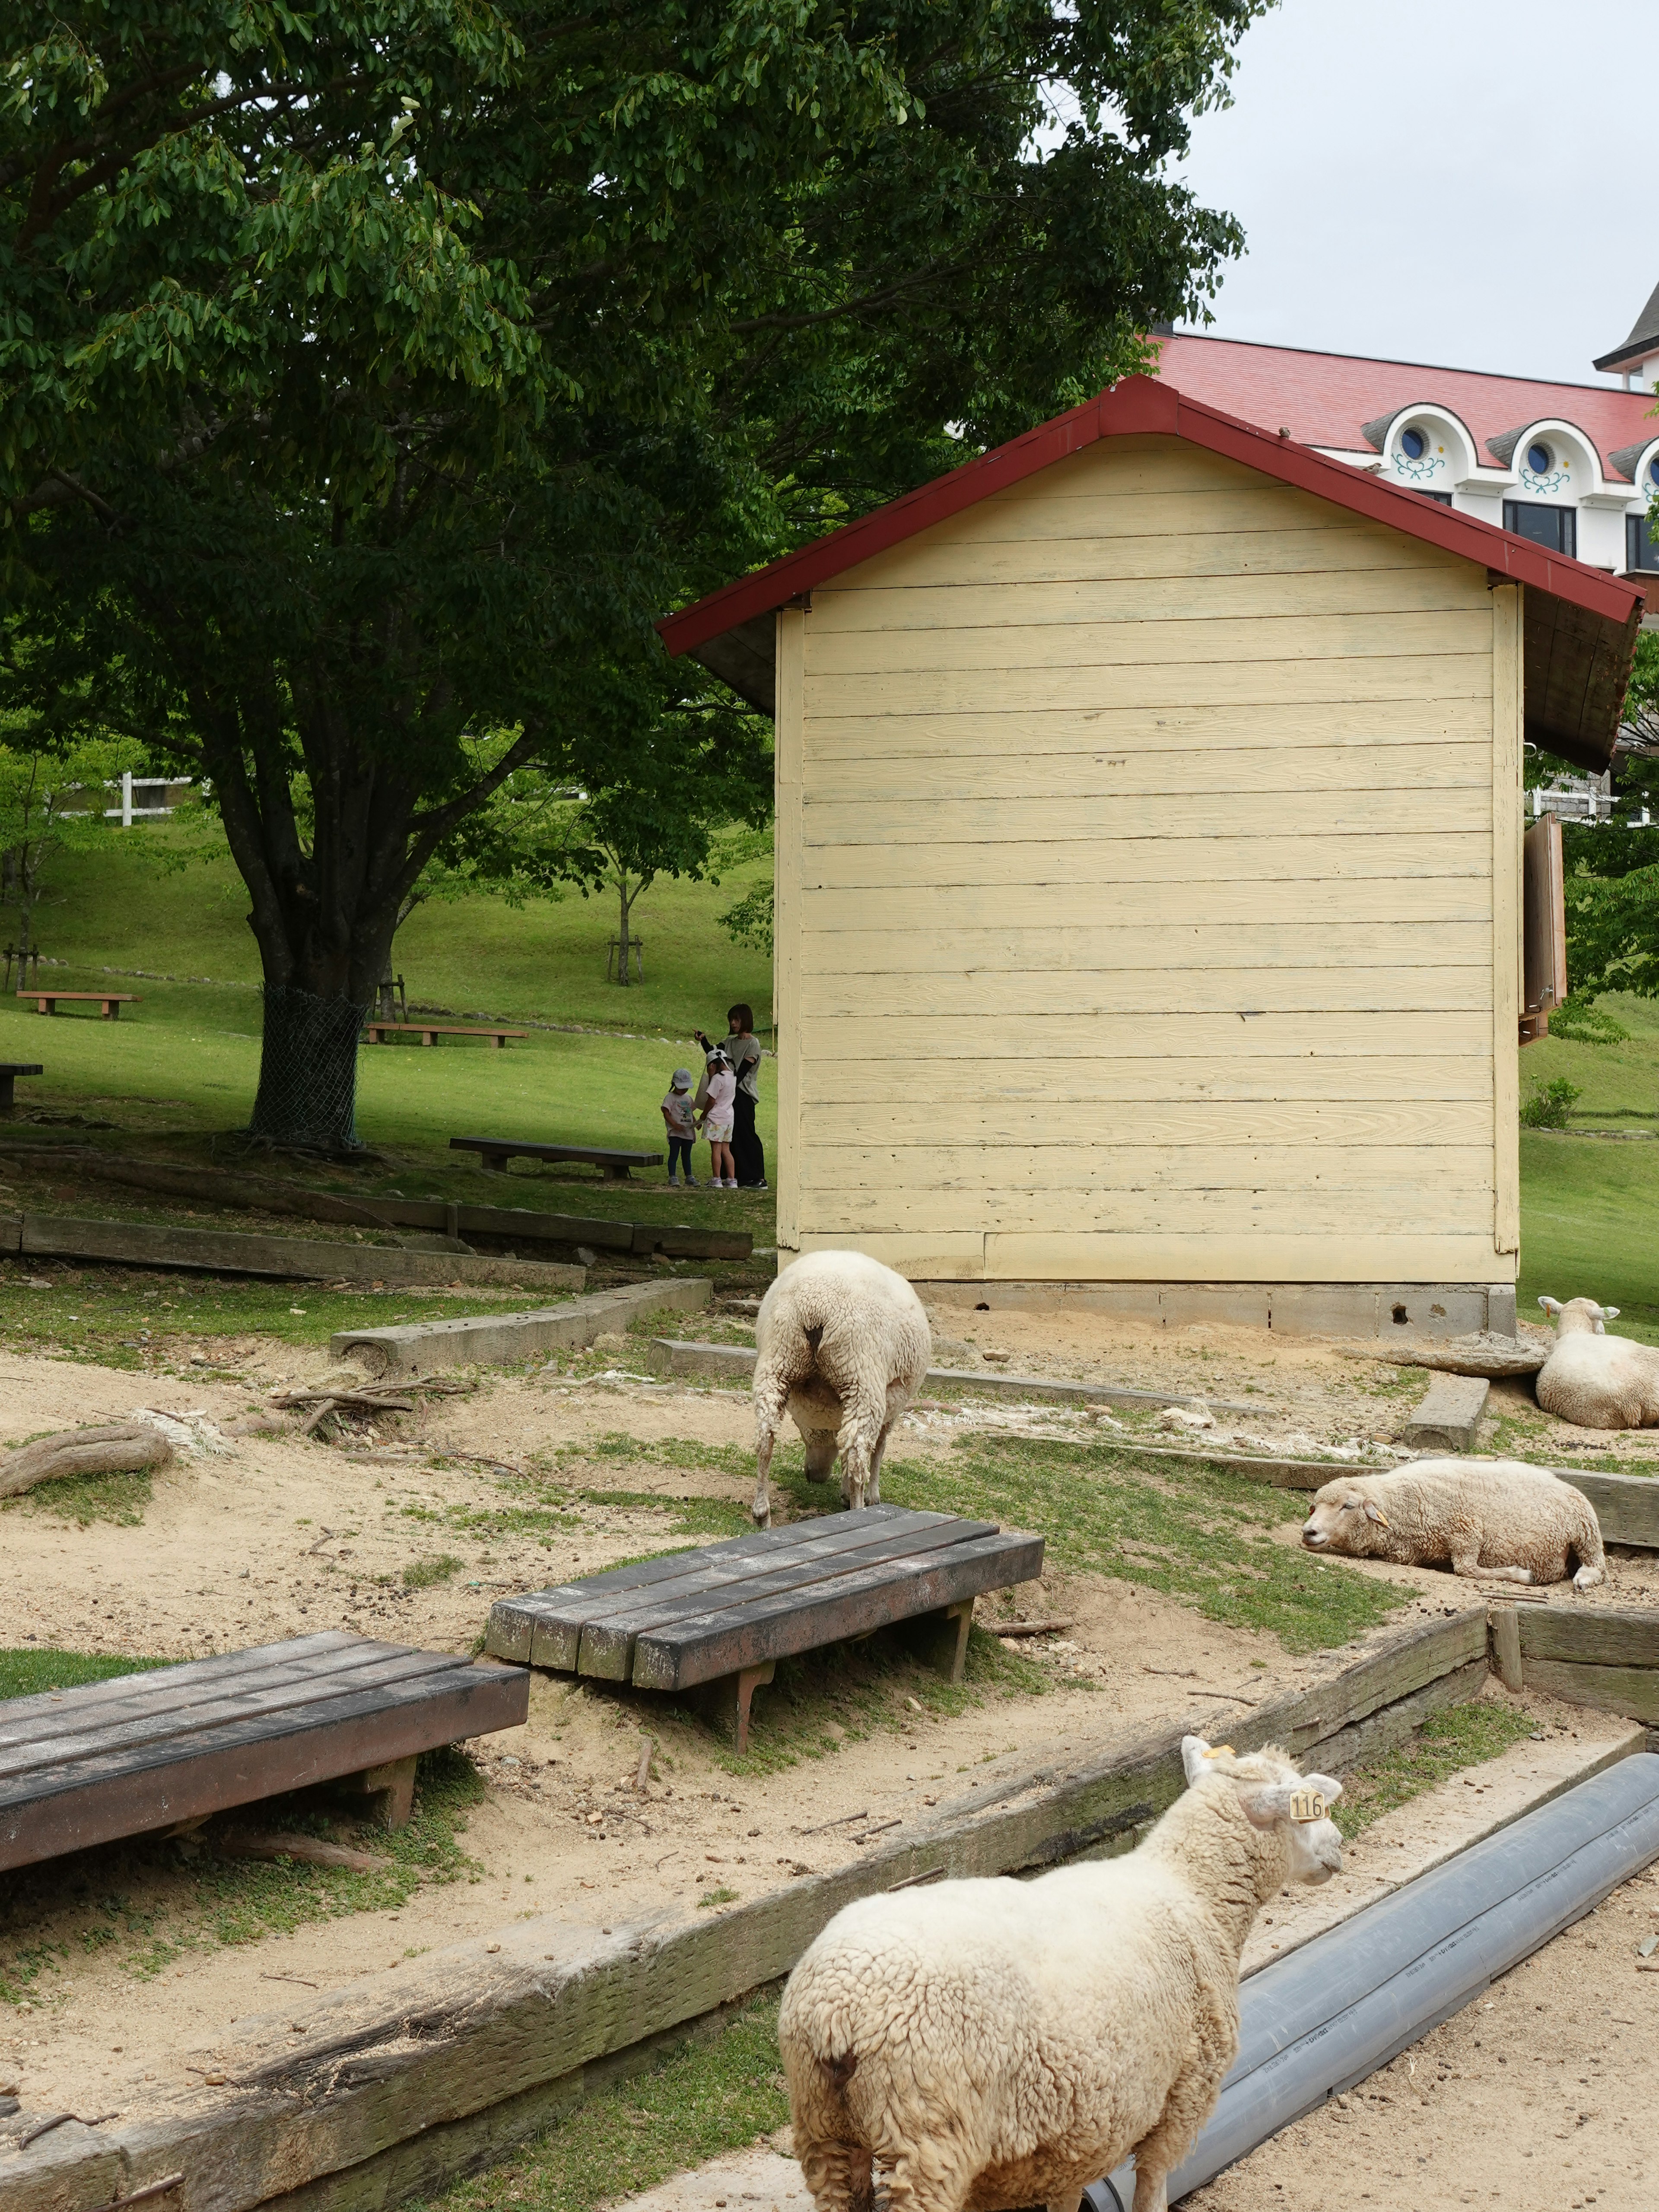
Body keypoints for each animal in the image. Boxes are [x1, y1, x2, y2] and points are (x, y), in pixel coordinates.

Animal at [752, 1256, 938, 1531]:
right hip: (860, 1375)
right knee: (859, 1455)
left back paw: (762, 1513)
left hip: (778, 1360)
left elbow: (844, 1449)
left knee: (766, 1438)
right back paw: (860, 1512)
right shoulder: (891, 1407)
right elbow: (878, 1449)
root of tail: (815, 1308)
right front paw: (870, 1497)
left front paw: (846, 1492)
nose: (813, 1476)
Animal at [783, 1734, 1354, 2212]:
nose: (1340, 1846)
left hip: (825, 2130)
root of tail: (836, 2010)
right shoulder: (1183, 2095)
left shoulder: (1078, 2129)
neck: (1194, 1890)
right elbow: (1152, 2188)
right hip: (928, 2136)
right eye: (1309, 1810)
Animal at [1309, 1451, 1601, 1592]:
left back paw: (1583, 1579)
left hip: (1586, 1527)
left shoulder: (1466, 1529)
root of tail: (1563, 1483)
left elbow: (1466, 1570)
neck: (1399, 1502)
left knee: (1597, 1564)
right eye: (1314, 1507)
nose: (1308, 1532)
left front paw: (1522, 1575)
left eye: (1348, 1506)